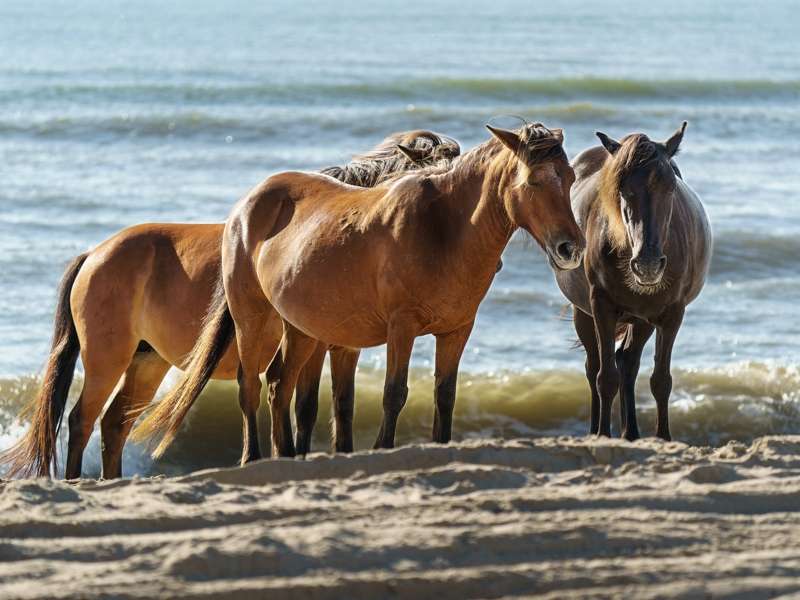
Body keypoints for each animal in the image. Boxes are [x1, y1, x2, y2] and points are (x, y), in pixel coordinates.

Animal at [0, 130, 460, 478]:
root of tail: (94, 254)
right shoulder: (312, 345)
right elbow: (302, 403)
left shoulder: (343, 348)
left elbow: (339, 407)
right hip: (105, 357)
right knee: (82, 420)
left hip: (146, 362)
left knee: (114, 424)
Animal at [136, 122, 588, 460]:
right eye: (532, 181)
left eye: (569, 178)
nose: (571, 248)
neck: (442, 229)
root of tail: (247, 203)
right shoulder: (401, 328)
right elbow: (393, 394)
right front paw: (384, 448)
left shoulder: (457, 330)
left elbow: (444, 395)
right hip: (253, 318)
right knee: (251, 384)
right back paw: (253, 458)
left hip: (300, 327)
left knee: (280, 384)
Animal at [556, 122, 712, 440]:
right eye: (623, 188)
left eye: (670, 187)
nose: (648, 264)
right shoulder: (601, 305)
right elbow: (605, 378)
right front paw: (603, 435)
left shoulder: (671, 313)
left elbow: (661, 381)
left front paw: (664, 438)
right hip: (583, 312)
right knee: (594, 366)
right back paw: (597, 429)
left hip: (642, 319)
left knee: (627, 362)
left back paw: (631, 433)